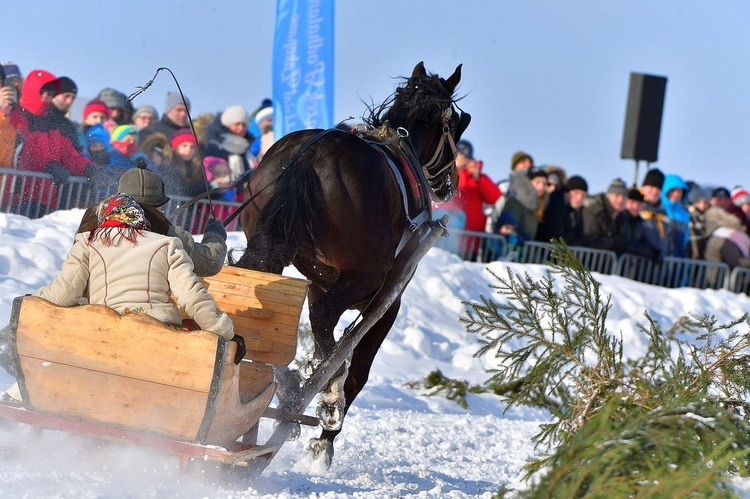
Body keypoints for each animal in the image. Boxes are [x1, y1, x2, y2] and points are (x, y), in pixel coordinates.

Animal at [235, 62, 470, 468]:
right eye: (454, 121)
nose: (450, 183)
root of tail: (308, 157)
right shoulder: (386, 301)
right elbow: (356, 365)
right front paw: (327, 435)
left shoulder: (320, 283)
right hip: (364, 278)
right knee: (328, 333)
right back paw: (325, 396)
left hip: (268, 253)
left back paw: (286, 389)